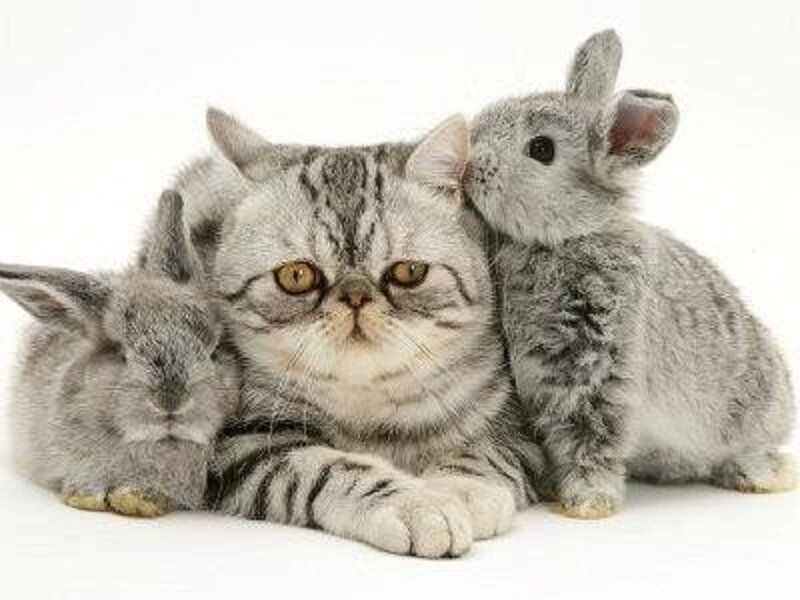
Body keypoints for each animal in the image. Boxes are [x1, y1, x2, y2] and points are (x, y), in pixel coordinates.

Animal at [463, 29, 795, 519]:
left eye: (541, 149)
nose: (471, 165)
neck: (566, 237)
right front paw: (556, 490)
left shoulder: (599, 374)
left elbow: (592, 440)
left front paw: (588, 503)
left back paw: (764, 475)